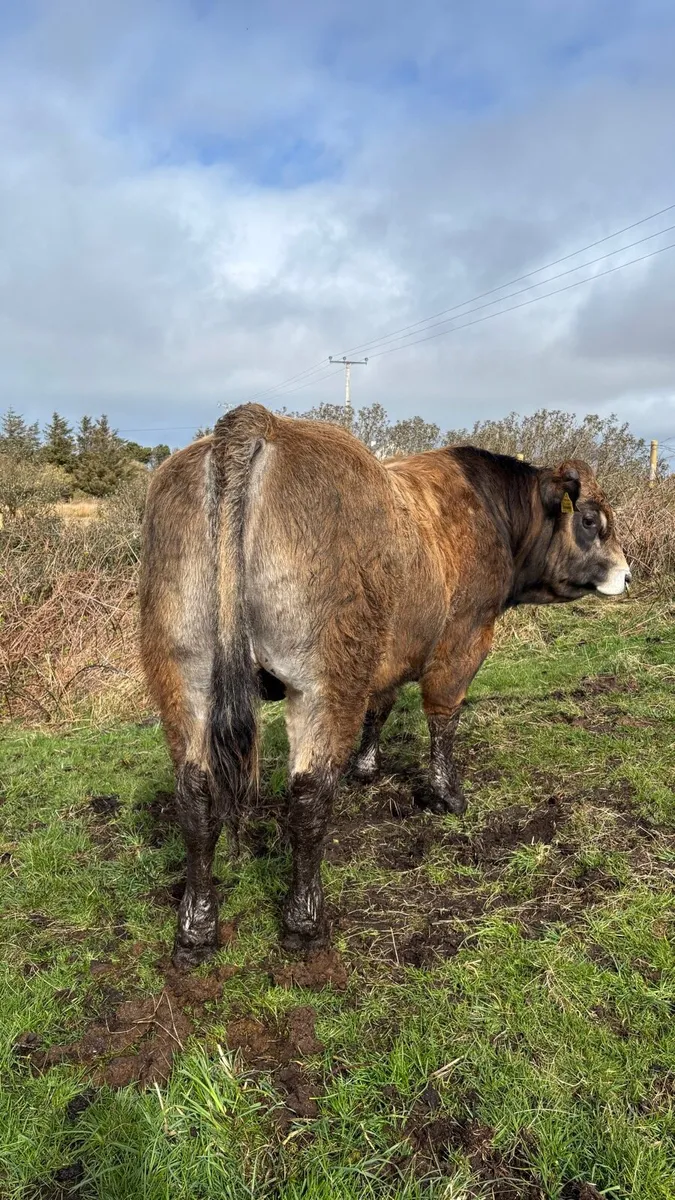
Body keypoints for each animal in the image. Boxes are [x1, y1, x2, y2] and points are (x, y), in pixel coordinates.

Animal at [139, 403, 630, 968]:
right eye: (591, 520)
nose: (627, 574)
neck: (492, 510)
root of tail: (259, 422)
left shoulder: (387, 657)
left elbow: (381, 707)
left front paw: (367, 767)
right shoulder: (463, 640)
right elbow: (443, 717)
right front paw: (446, 795)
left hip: (184, 673)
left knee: (196, 795)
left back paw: (195, 930)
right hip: (323, 678)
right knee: (308, 794)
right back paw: (305, 924)